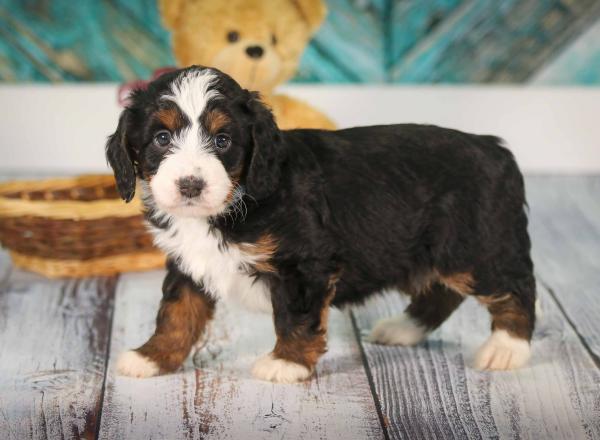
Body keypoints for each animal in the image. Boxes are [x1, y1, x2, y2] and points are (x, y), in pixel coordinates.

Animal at [106, 64, 536, 382]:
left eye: (223, 140)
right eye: (162, 138)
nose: (190, 185)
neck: (236, 201)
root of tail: (493, 147)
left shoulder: (304, 263)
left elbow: (296, 316)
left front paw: (286, 362)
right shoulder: (187, 264)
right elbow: (176, 313)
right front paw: (152, 356)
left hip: (474, 248)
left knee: (515, 289)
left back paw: (506, 349)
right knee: (442, 293)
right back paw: (403, 328)